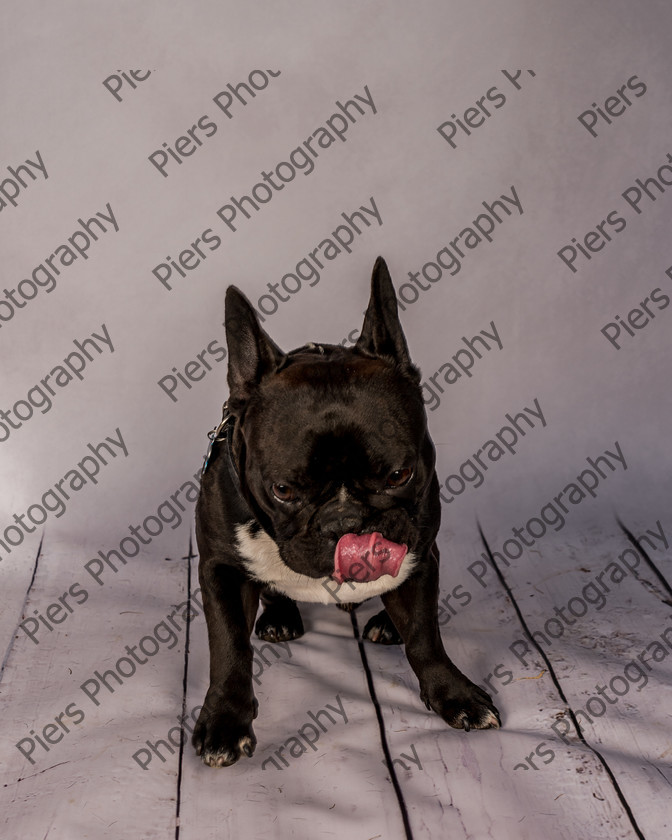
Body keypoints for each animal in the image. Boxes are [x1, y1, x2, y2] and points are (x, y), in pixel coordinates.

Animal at [193, 258, 498, 768]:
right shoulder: (220, 570)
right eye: (283, 490)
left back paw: (385, 624)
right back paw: (280, 616)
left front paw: (453, 694)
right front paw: (225, 723)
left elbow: (425, 635)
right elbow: (229, 650)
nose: (347, 523)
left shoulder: (422, 555)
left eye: (399, 474)